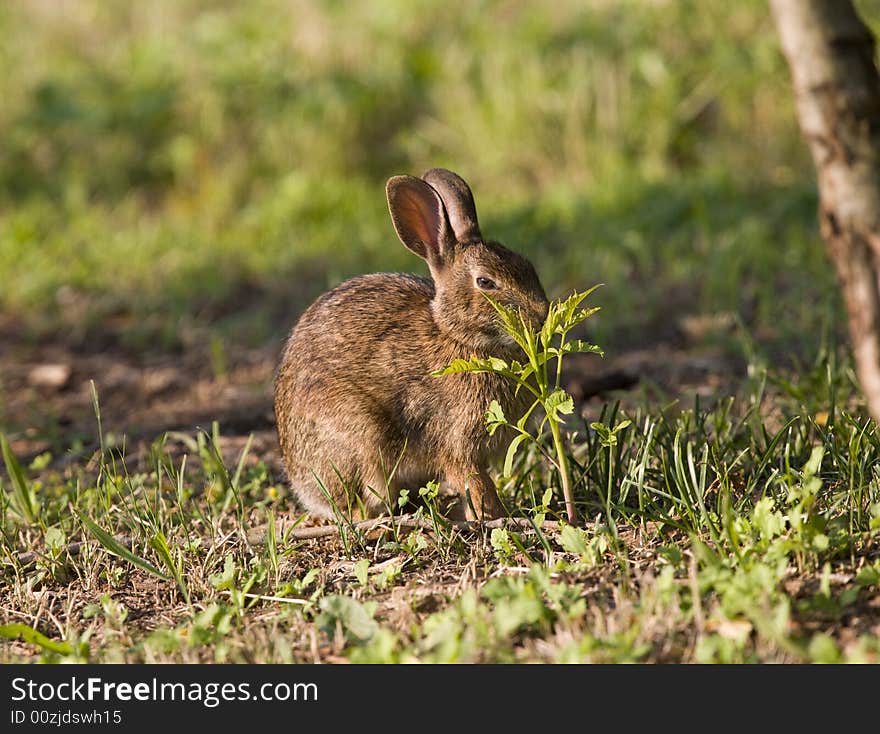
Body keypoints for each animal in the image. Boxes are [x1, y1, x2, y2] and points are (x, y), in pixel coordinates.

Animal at [276, 168, 552, 524]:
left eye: (528, 266)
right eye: (485, 282)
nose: (542, 315)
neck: (456, 335)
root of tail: (302, 484)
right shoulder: (456, 441)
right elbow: (475, 482)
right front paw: (492, 516)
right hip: (359, 436)